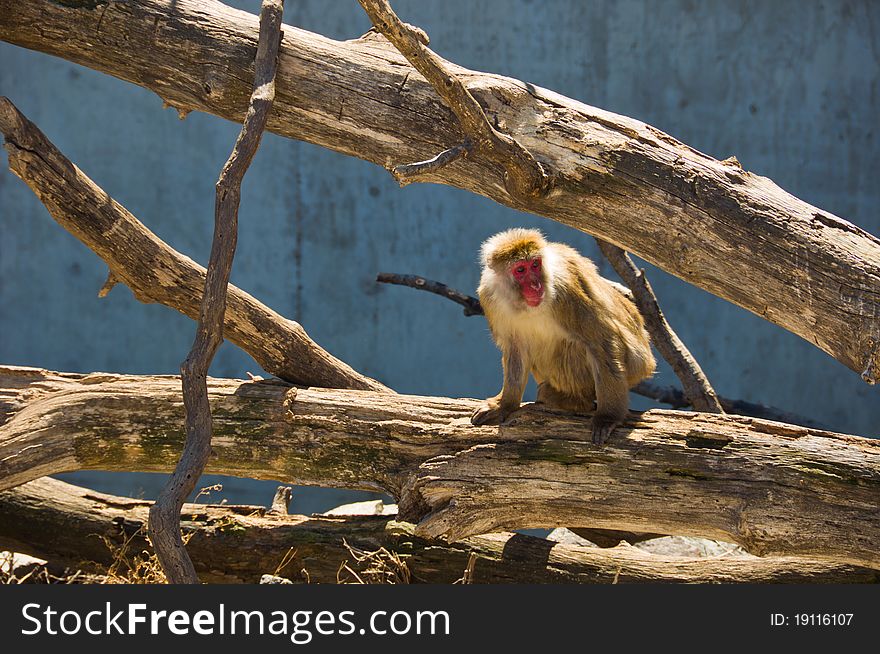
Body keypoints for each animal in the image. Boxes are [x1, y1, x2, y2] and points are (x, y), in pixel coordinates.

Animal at [474, 227, 652, 446]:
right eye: (520, 270)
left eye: (535, 265)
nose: (536, 286)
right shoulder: (489, 297)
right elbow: (516, 349)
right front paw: (504, 405)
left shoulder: (567, 290)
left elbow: (602, 340)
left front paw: (608, 417)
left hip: (634, 366)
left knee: (574, 345)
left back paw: (574, 401)